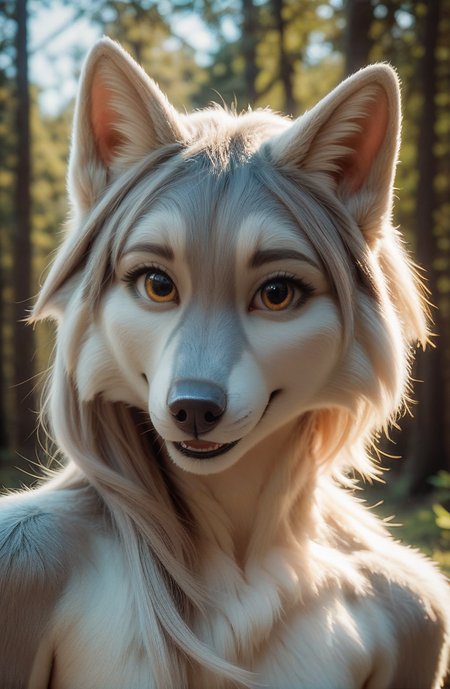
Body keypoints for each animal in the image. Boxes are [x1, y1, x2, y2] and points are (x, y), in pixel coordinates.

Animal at [0, 37, 449, 689]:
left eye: (278, 294)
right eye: (157, 284)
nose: (193, 408)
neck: (243, 552)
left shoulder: (419, 609)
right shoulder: (19, 556)